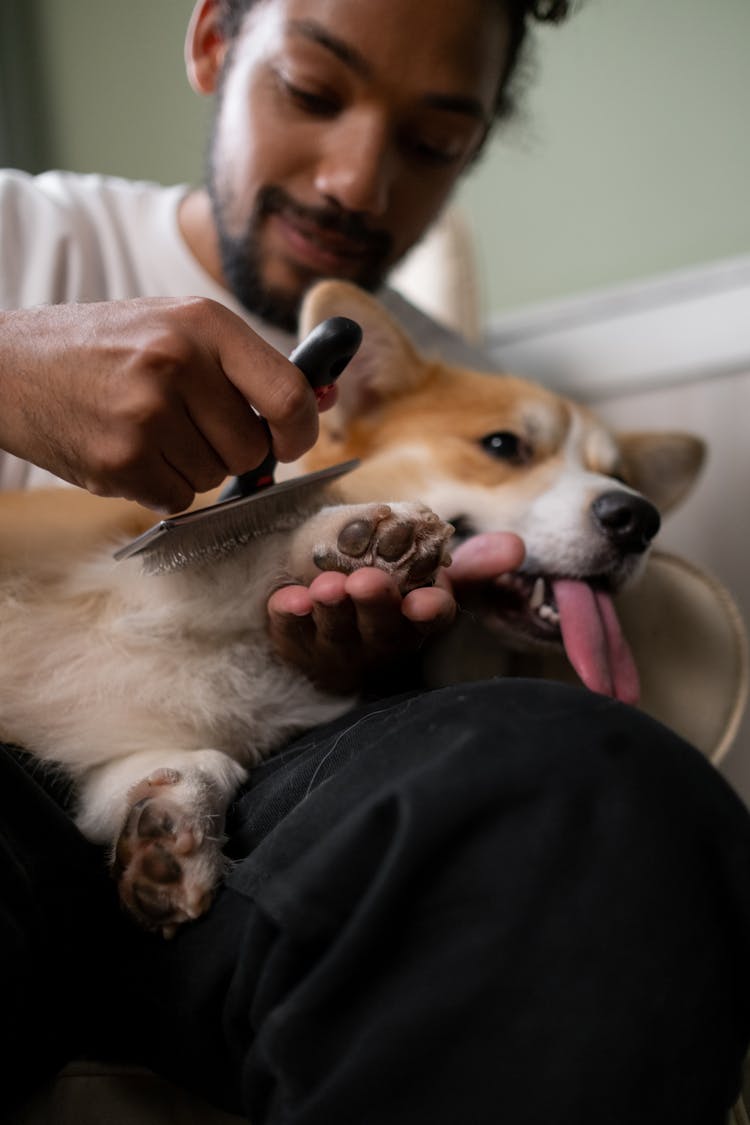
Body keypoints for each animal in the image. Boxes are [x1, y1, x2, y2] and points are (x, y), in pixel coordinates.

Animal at [0, 279, 706, 931]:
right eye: (504, 446)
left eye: (622, 478)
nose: (638, 519)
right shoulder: (113, 576)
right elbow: (238, 552)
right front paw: (358, 537)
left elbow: (197, 764)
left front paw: (169, 835)